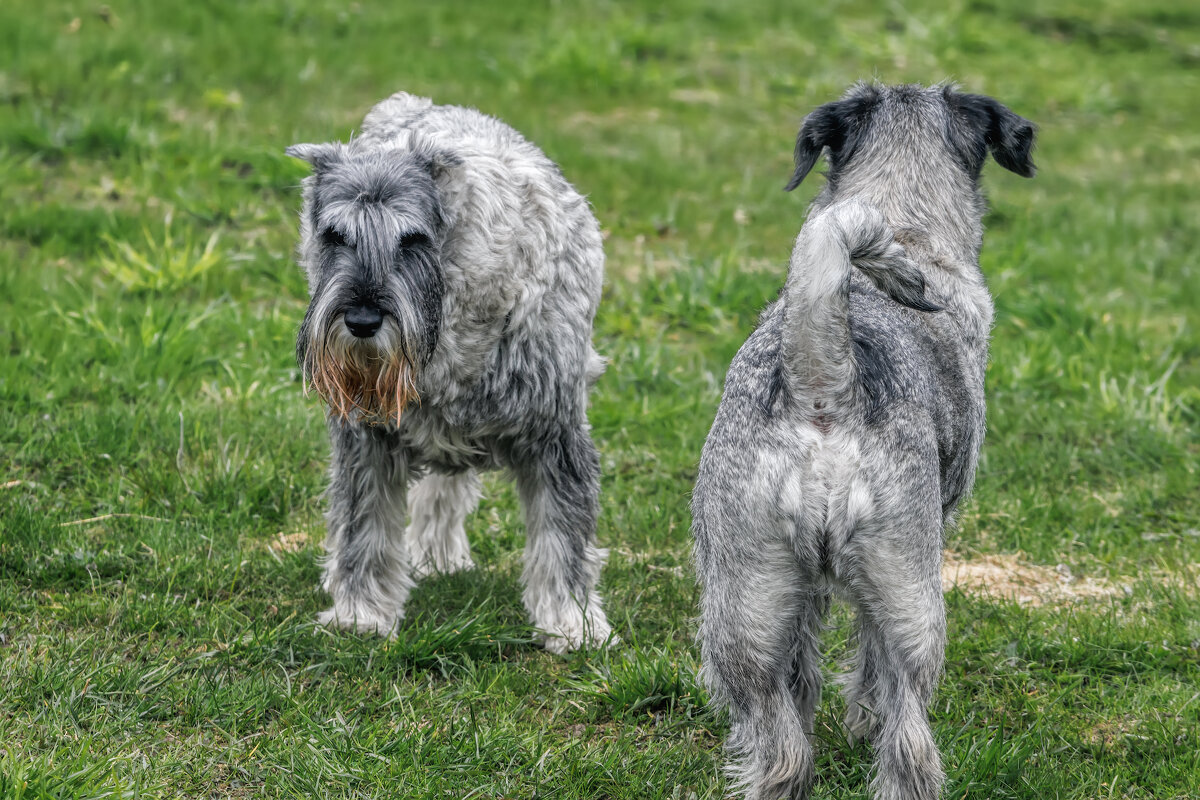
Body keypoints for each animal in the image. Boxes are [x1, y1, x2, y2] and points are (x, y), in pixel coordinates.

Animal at [285, 92, 614, 657]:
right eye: (335, 235)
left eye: (412, 238)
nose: (362, 321)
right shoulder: (367, 438)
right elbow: (364, 530)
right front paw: (362, 615)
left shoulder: (556, 435)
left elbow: (562, 534)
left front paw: (573, 622)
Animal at [691, 84, 1036, 796]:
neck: (904, 222)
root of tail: (824, 385)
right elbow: (870, 671)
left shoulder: (802, 593)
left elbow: (804, 668)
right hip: (912, 602)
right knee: (908, 737)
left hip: (743, 607)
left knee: (781, 744)